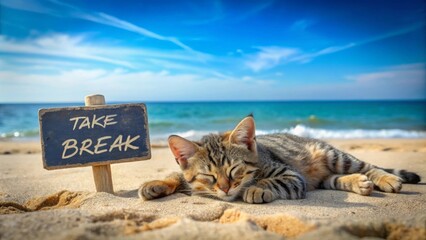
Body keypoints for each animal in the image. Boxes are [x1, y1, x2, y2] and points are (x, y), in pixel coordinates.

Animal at [138, 115, 422, 203]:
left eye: (234, 171)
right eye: (209, 176)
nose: (226, 188)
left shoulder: (291, 175)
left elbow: (271, 181)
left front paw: (255, 189)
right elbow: (178, 176)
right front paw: (156, 184)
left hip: (334, 155)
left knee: (369, 166)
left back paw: (386, 179)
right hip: (322, 177)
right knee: (334, 179)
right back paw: (358, 183)